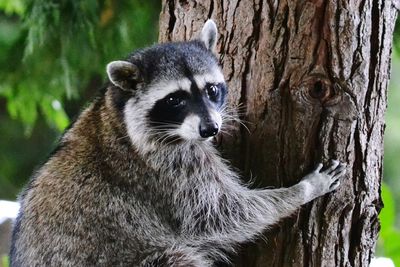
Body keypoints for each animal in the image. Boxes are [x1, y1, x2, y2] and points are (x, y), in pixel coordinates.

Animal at [10, 21, 346, 267]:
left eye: (212, 89)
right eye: (175, 100)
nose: (211, 129)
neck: (115, 112)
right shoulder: (165, 168)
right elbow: (221, 214)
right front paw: (302, 190)